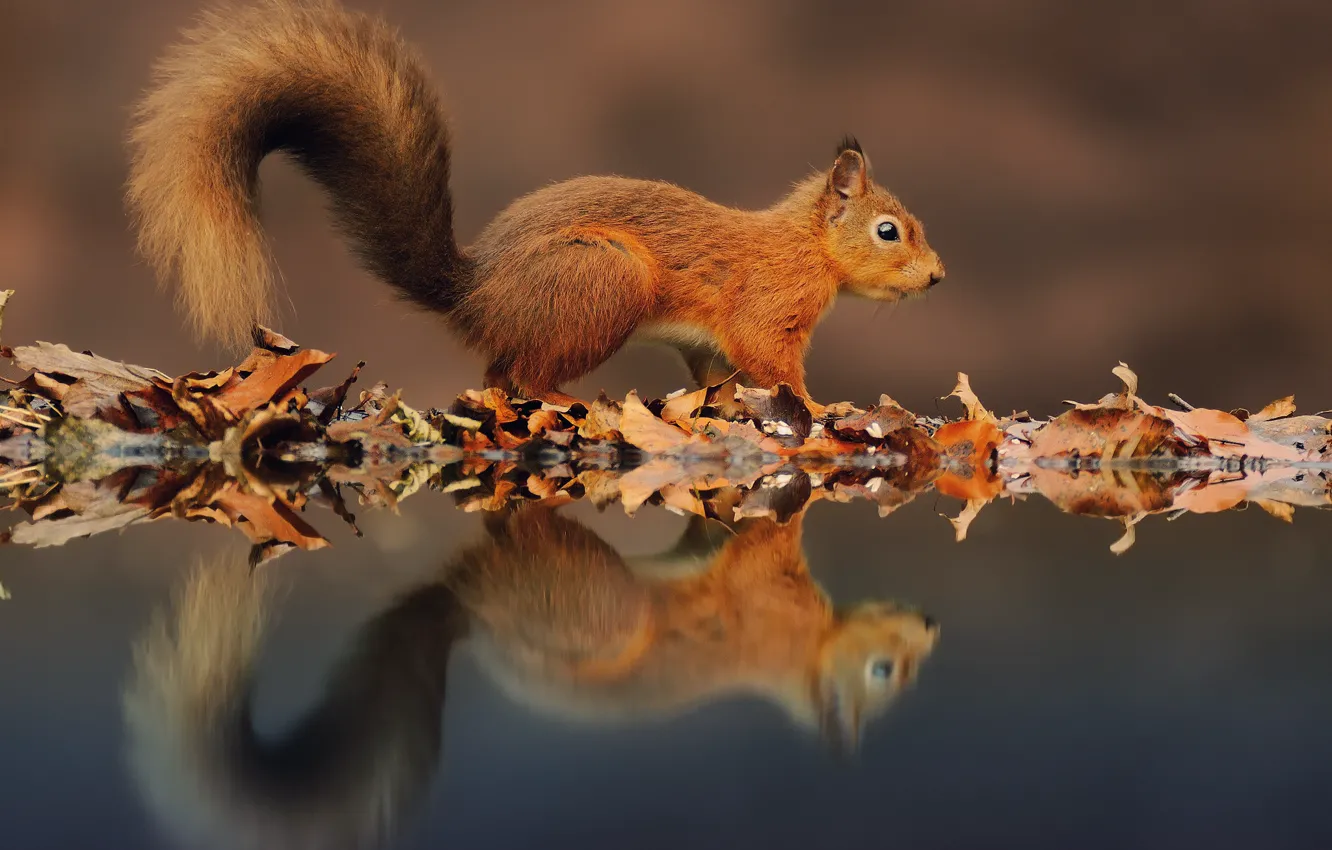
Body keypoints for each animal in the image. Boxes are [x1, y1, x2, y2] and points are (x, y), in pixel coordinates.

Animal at [122, 0, 937, 405]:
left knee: (498, 376)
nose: (936, 278)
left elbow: (720, 377)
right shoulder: (767, 308)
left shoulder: (710, 344)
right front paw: (823, 411)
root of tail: (476, 293)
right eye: (889, 231)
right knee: (529, 377)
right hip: (602, 283)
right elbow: (773, 363)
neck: (804, 246)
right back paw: (569, 405)